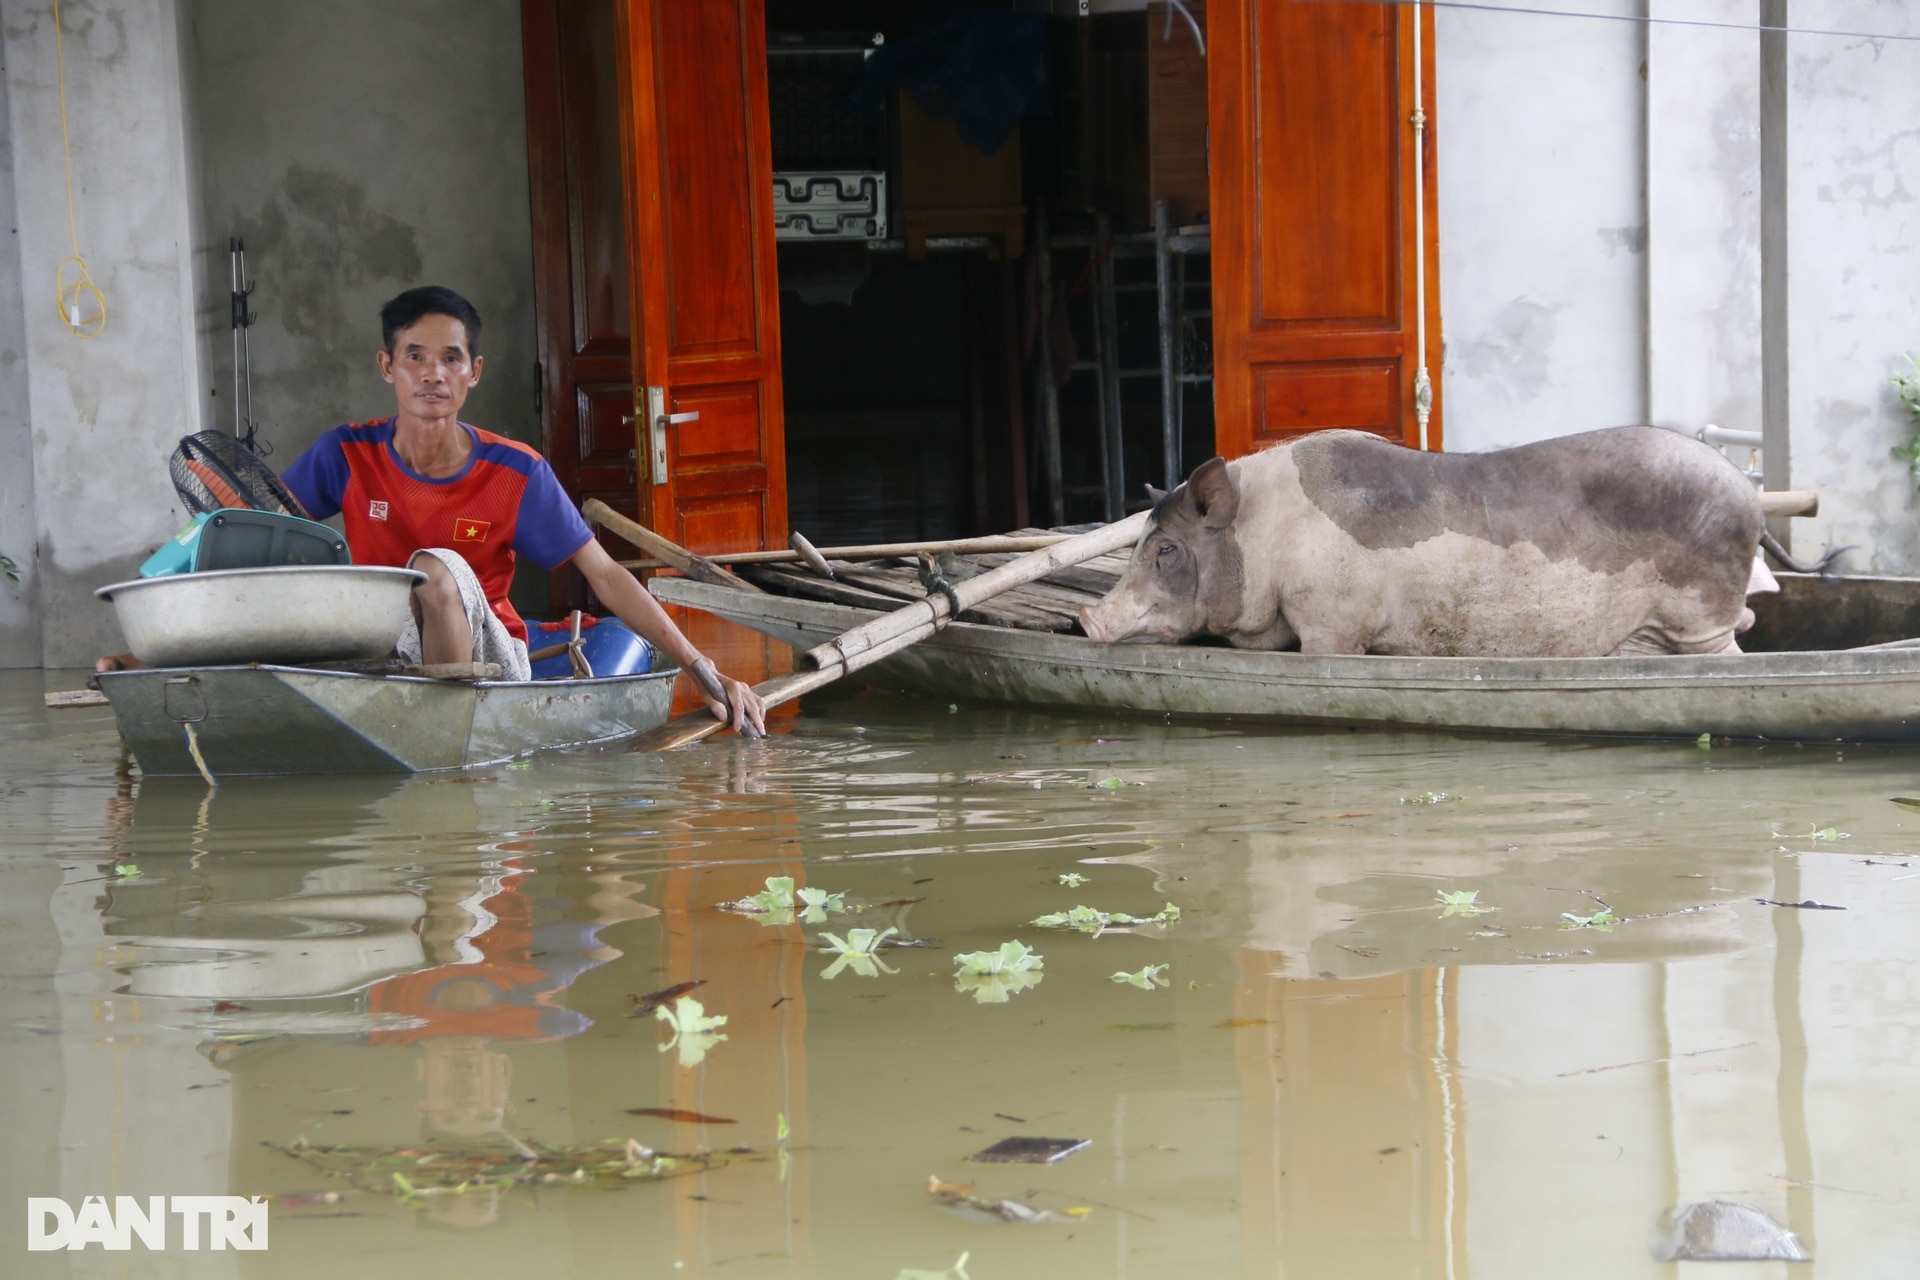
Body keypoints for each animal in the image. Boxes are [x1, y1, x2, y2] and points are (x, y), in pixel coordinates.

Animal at [1082, 427, 1781, 660]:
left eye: (1166, 549)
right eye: (1142, 540)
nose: (1086, 619)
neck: (1267, 537)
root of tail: (1748, 493)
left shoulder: (1334, 619)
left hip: (1701, 614)